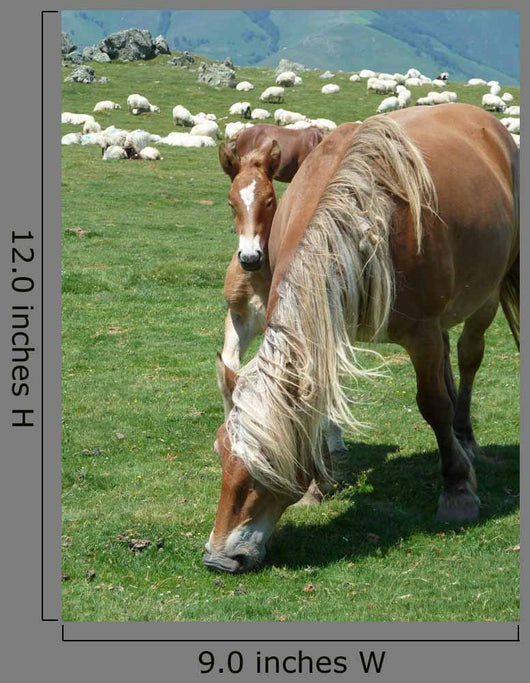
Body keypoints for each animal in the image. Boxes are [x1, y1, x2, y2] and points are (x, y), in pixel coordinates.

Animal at [204, 103, 519, 574]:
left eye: (266, 463)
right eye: (222, 452)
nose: (219, 558)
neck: (366, 228)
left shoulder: (422, 334)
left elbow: (433, 406)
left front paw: (458, 490)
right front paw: (317, 488)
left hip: (489, 293)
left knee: (468, 357)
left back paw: (464, 439)